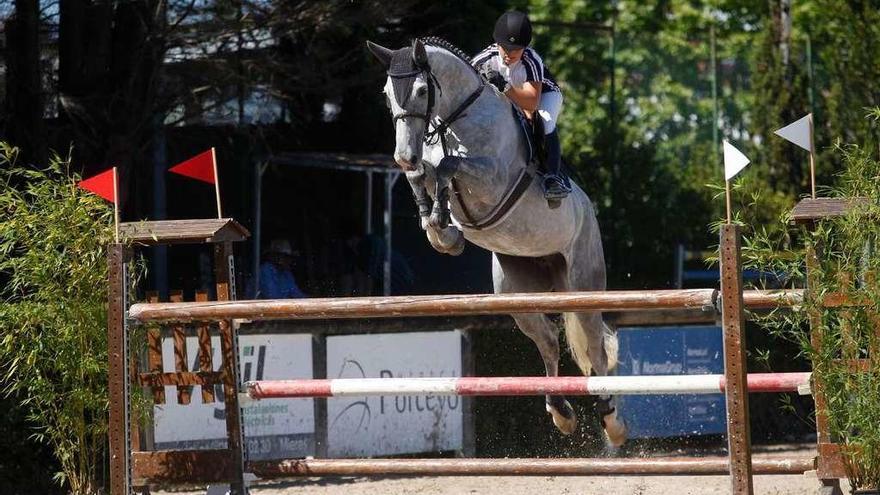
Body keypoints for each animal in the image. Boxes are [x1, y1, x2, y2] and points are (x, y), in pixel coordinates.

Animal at [364, 36, 624, 448]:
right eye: (387, 94)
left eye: (421, 91)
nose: (403, 156)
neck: (457, 120)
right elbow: (426, 174)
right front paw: (440, 229)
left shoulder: (493, 180)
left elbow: (448, 167)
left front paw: (440, 222)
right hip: (515, 290)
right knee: (548, 341)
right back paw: (560, 412)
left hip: (583, 283)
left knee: (595, 348)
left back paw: (611, 420)